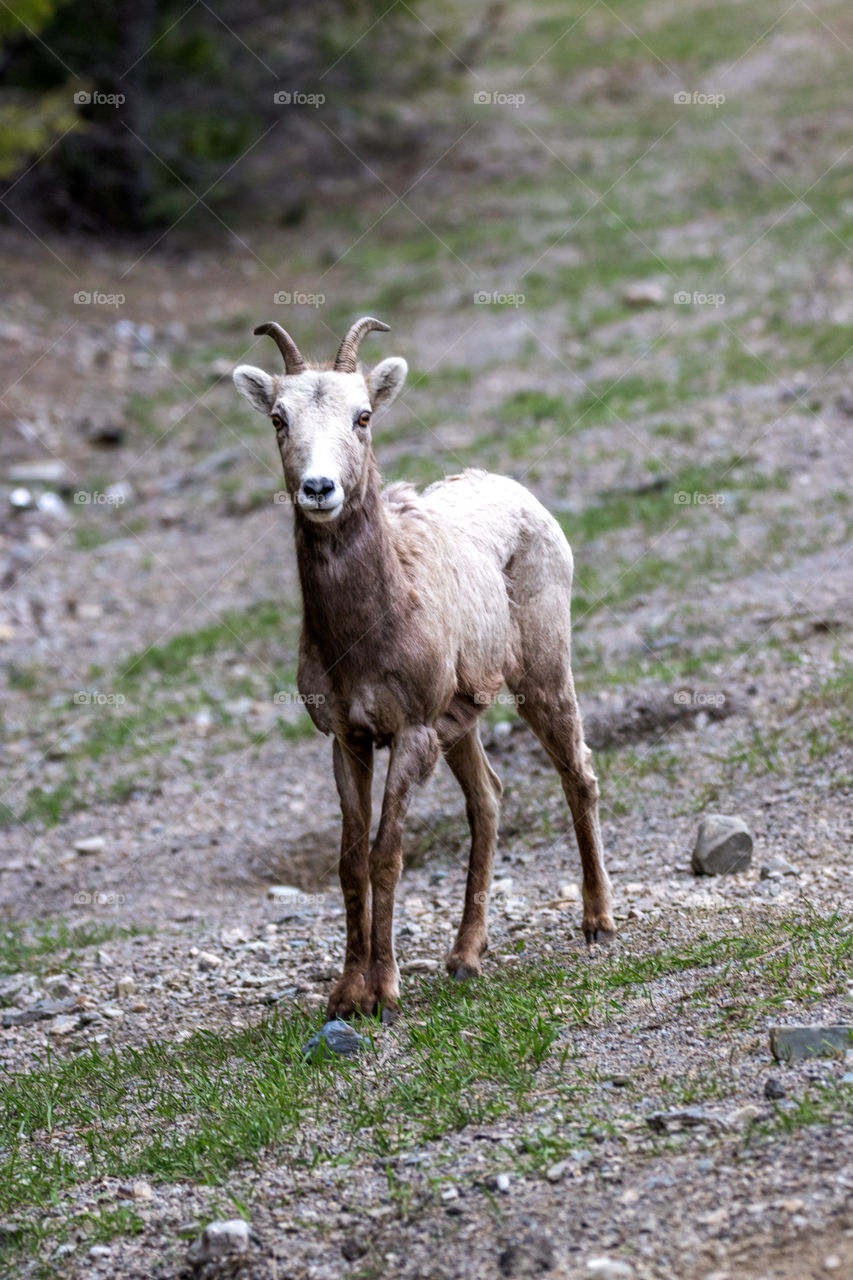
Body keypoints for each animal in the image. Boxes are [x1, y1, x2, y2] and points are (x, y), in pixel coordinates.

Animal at [233, 316, 615, 1021]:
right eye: (278, 418)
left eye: (362, 415)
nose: (319, 490)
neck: (367, 632)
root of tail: (517, 493)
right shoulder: (349, 740)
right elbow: (350, 860)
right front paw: (344, 996)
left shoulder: (409, 733)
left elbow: (387, 855)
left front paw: (383, 994)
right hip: (460, 723)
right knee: (488, 799)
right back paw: (465, 957)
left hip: (543, 677)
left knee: (578, 773)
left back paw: (598, 924)